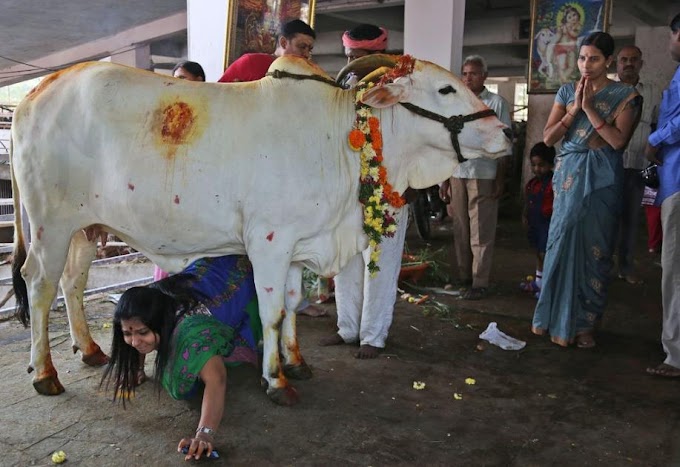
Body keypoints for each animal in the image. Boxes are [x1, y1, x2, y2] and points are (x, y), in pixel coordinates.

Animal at [11, 54, 510, 406]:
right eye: (445, 88)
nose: (505, 132)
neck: (340, 140)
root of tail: (37, 92)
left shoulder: (295, 246)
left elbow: (290, 307)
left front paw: (295, 360)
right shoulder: (269, 242)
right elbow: (271, 313)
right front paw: (276, 379)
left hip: (84, 228)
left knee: (73, 283)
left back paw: (89, 349)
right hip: (50, 224)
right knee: (40, 285)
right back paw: (45, 373)